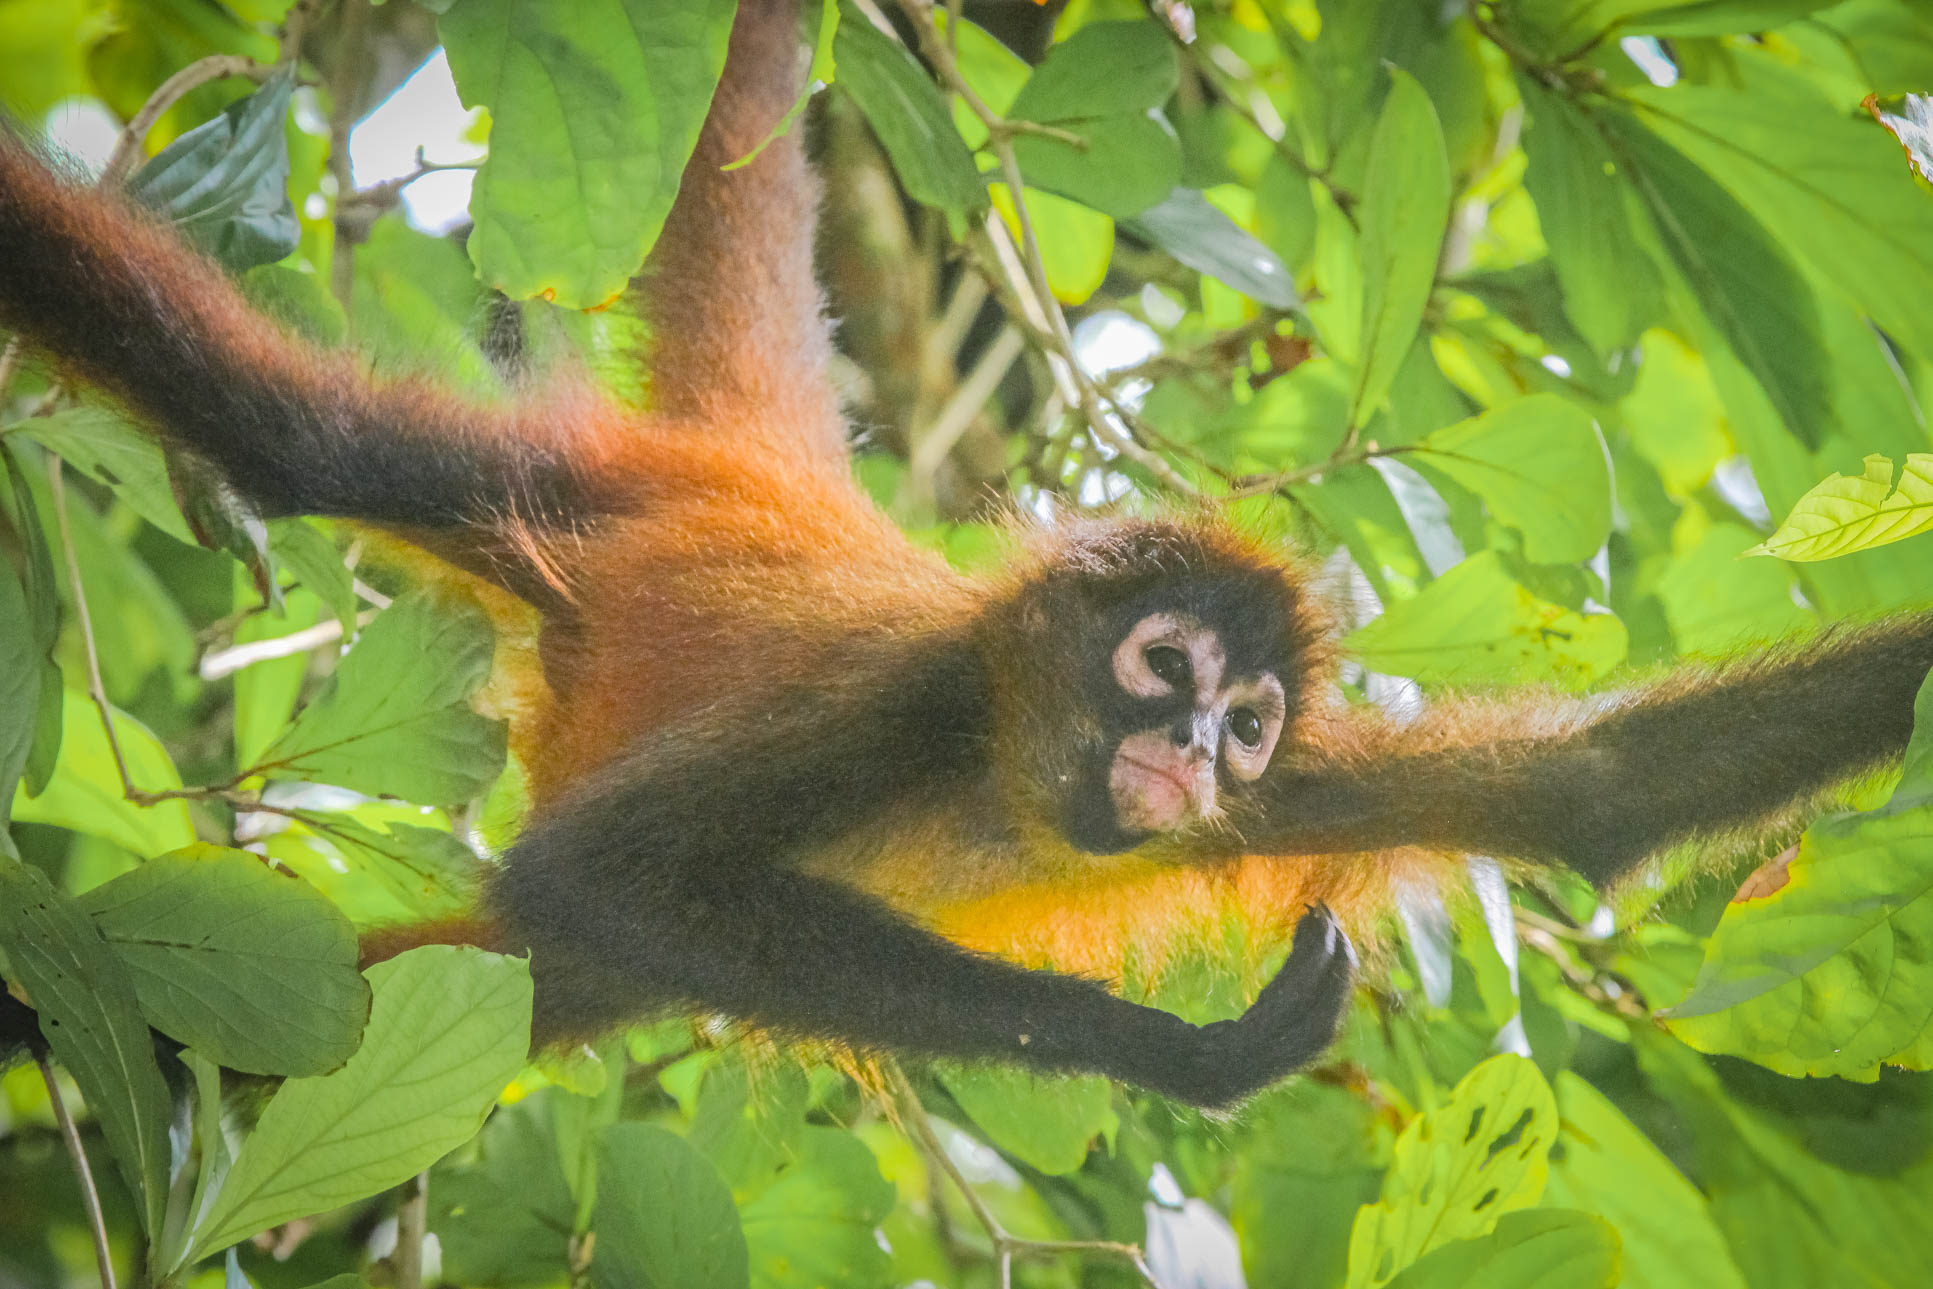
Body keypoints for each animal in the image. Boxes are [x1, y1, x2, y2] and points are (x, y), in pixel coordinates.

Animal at [2, 0, 1932, 1110]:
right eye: (1165, 666)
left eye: (1245, 724)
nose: (1187, 747)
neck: (1006, 781)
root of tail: (777, 484)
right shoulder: (906, 699)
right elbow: (596, 867)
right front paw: (1181, 1055)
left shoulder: (1299, 793)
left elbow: (1598, 792)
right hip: (572, 496)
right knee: (292, 438)